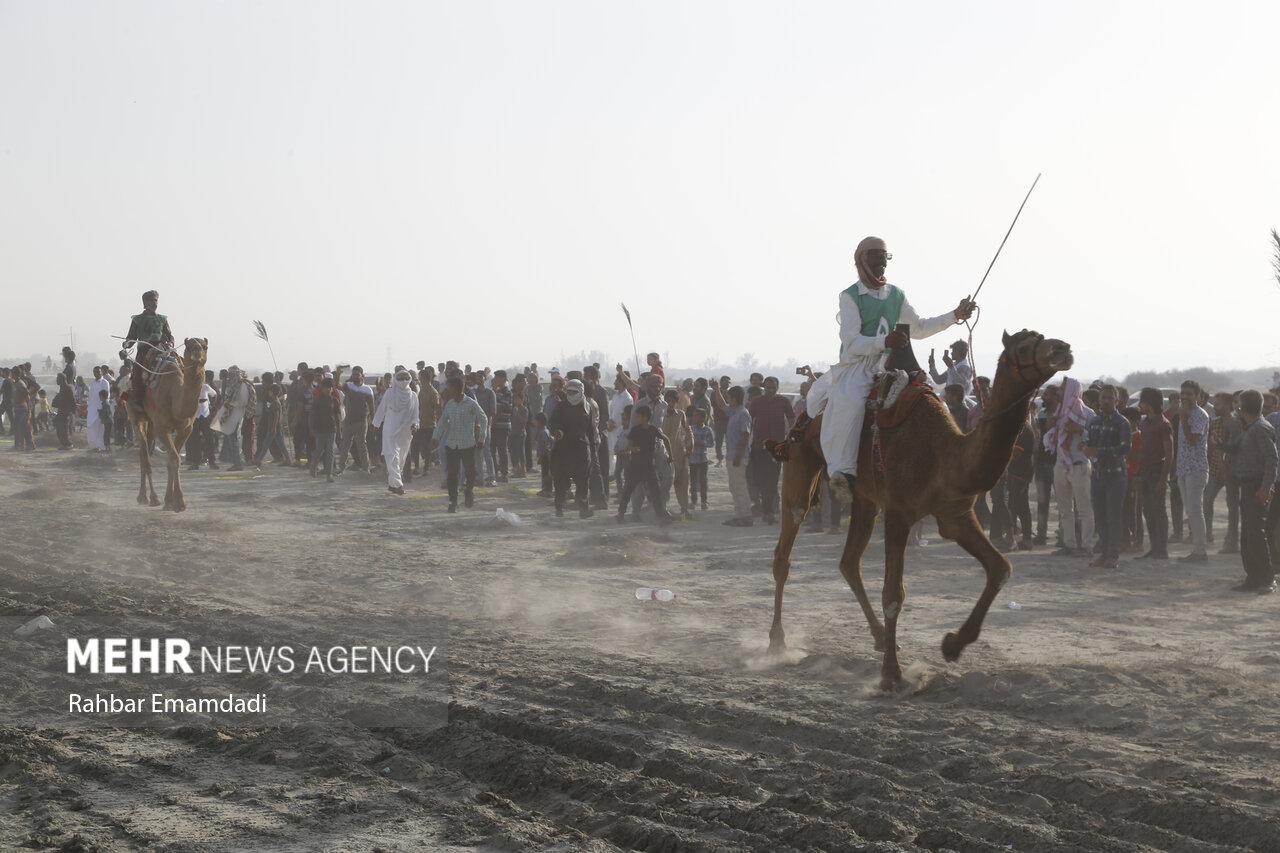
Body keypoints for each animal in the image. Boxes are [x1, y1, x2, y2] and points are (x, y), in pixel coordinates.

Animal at [126, 335, 207, 507]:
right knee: (144, 454)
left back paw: (148, 497)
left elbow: (172, 460)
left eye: (205, 346)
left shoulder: (186, 428)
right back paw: (149, 497)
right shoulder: (162, 428)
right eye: (189, 346)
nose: (197, 350)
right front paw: (179, 503)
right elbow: (175, 459)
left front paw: (170, 500)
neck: (174, 396)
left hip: (151, 424)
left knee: (145, 449)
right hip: (136, 416)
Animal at [762, 327, 1075, 686]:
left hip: (865, 499)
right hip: (800, 464)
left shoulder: (955, 514)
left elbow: (1000, 567)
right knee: (785, 550)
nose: (1063, 348)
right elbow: (893, 594)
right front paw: (892, 676)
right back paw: (777, 643)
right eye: (1024, 346)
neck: (944, 453)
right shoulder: (899, 513)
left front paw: (952, 644)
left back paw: (879, 637)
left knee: (849, 562)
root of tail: (806, 407)